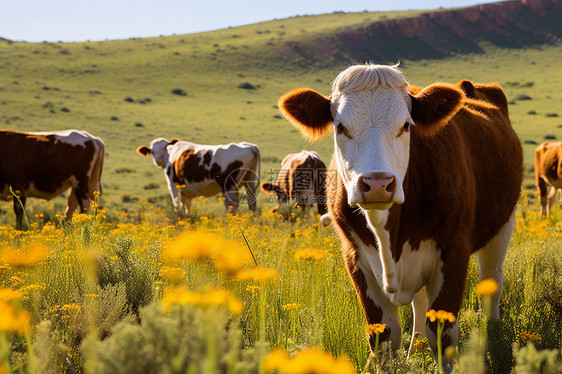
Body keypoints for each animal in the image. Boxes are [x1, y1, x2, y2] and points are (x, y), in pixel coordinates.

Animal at [276, 65, 520, 366]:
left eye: (406, 125)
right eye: (340, 126)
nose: (377, 184)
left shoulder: (454, 251)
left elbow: (442, 334)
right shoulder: (355, 258)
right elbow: (383, 338)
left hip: (503, 226)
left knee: (492, 281)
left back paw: (493, 331)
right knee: (420, 302)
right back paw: (416, 346)